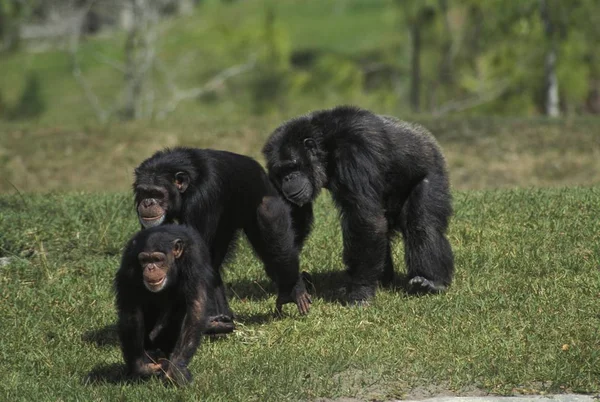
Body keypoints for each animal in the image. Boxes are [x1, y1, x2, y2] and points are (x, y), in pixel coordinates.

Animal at [115, 225, 213, 384]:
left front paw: (175, 369)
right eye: (144, 260)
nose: (150, 268)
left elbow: (195, 308)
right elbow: (131, 311)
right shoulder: (129, 261)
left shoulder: (194, 259)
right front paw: (140, 366)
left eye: (157, 259)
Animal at [134, 148, 312, 332]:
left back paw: (292, 290)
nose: (147, 203)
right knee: (213, 264)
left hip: (271, 205)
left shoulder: (201, 199)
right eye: (144, 192)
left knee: (273, 233)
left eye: (157, 193)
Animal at [262, 105, 454, 304]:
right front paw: (285, 276)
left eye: (292, 166)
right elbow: (293, 217)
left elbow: (365, 220)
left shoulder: (355, 153)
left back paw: (431, 281)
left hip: (433, 172)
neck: (327, 147)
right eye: (281, 171)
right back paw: (384, 279)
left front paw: (360, 290)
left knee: (422, 224)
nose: (288, 178)